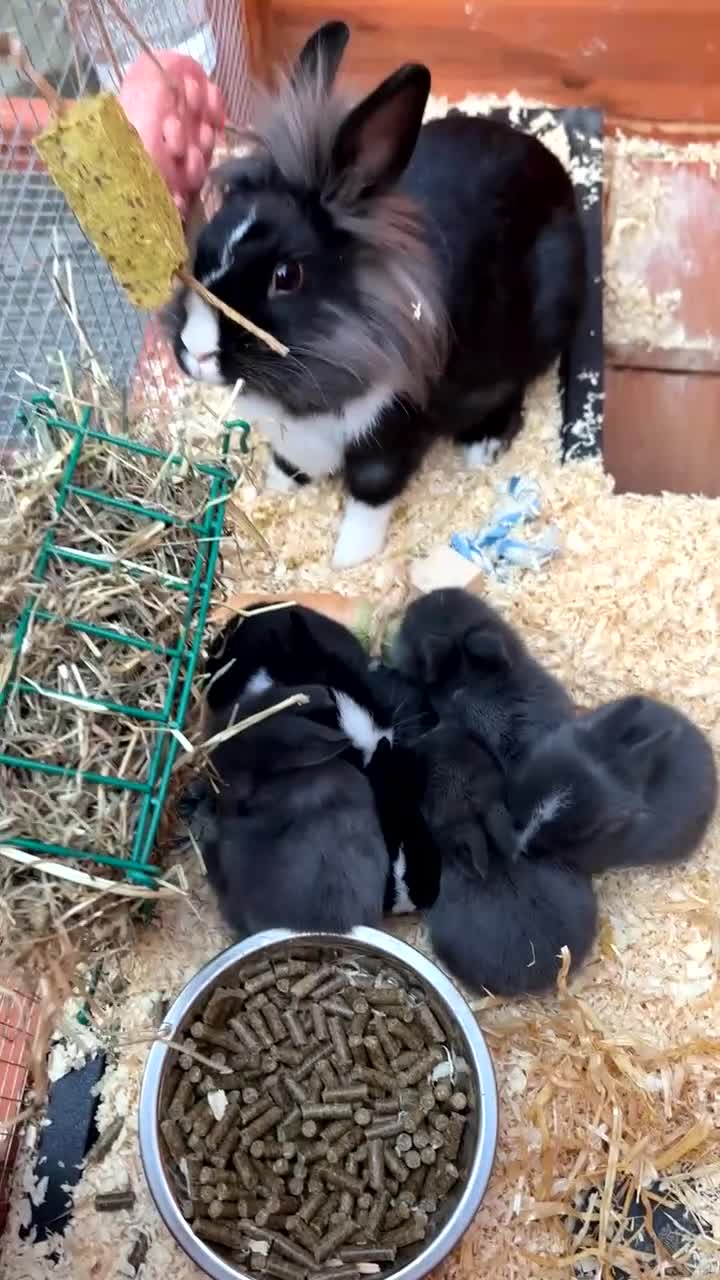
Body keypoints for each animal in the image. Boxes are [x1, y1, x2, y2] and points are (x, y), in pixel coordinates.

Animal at [169, 20, 586, 568]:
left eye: (287, 276)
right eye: (209, 238)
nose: (195, 350)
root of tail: (557, 174)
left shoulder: (391, 434)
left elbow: (370, 492)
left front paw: (349, 559)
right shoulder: (294, 440)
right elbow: (289, 465)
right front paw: (275, 490)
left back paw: (483, 445)